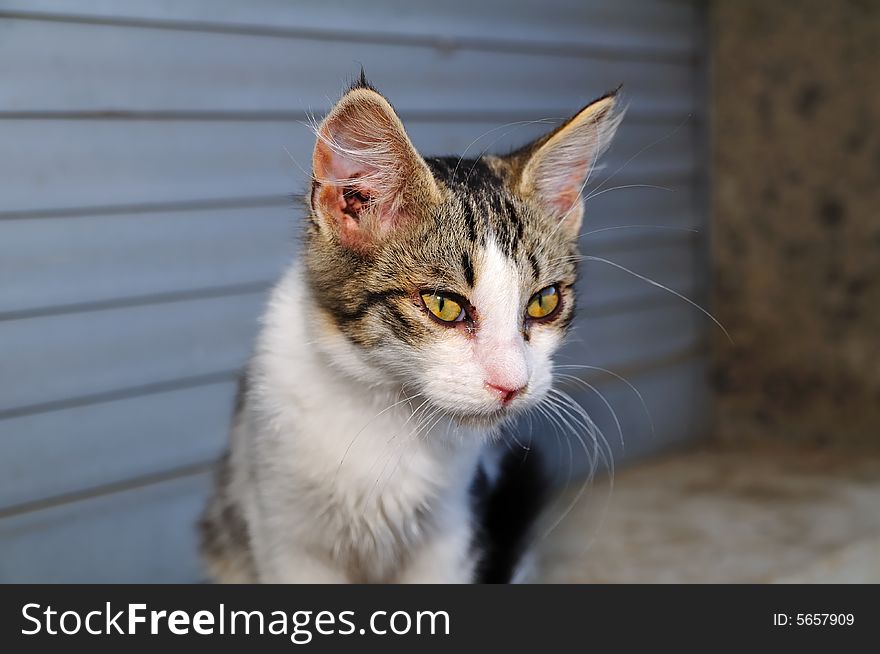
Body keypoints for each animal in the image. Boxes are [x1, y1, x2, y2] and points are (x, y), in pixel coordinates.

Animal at [199, 73, 624, 584]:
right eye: (444, 305)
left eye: (545, 301)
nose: (513, 385)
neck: (388, 411)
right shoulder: (284, 530)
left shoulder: (454, 528)